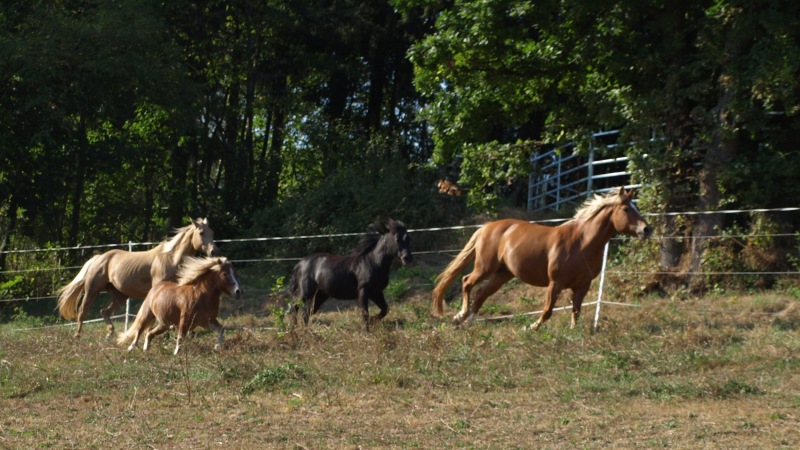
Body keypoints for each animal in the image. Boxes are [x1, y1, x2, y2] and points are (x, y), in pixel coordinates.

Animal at [55, 218, 219, 338]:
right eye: (201, 232)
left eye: (212, 232)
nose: (214, 251)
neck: (171, 259)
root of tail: (99, 257)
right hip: (92, 290)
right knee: (83, 311)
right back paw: (77, 336)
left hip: (120, 296)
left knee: (104, 311)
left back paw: (110, 334)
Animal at [432, 188, 648, 328]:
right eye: (626, 209)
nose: (647, 229)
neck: (582, 243)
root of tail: (486, 227)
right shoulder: (555, 283)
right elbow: (547, 311)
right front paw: (530, 327)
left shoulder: (582, 285)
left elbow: (576, 311)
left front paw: (573, 333)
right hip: (485, 267)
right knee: (467, 282)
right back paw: (460, 316)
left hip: (503, 274)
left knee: (481, 294)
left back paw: (467, 322)